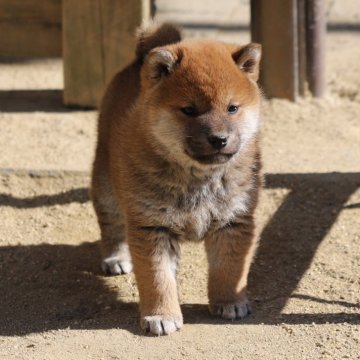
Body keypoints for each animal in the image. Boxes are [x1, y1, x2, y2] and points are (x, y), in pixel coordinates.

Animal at [91, 23, 262, 336]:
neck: (198, 177)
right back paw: (115, 258)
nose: (219, 139)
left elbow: (229, 270)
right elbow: (158, 279)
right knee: (111, 226)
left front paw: (230, 302)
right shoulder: (151, 227)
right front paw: (161, 315)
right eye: (189, 110)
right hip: (106, 186)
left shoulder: (234, 221)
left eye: (232, 108)